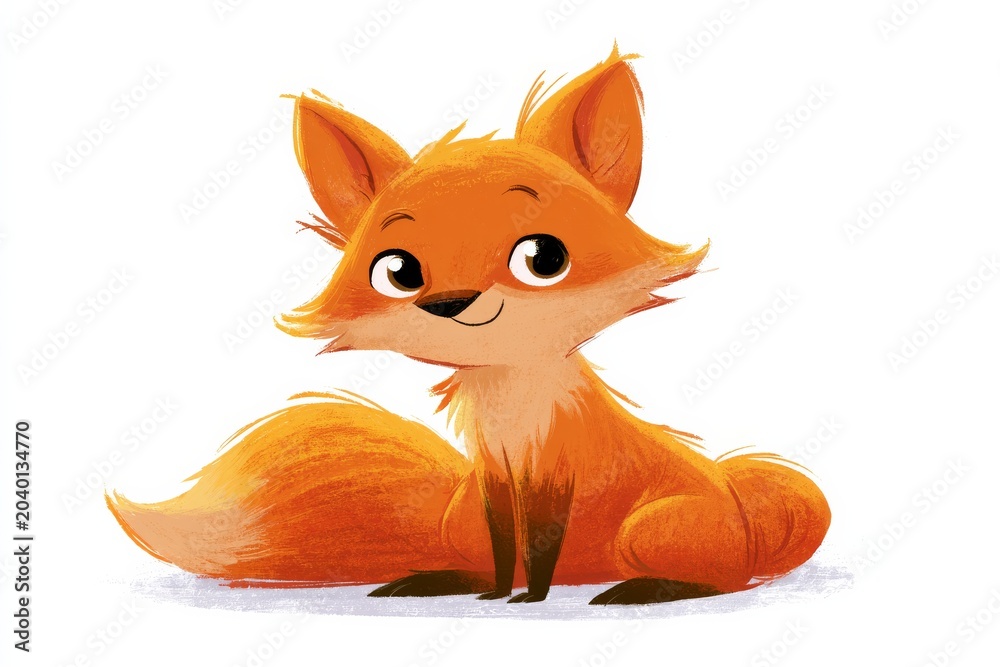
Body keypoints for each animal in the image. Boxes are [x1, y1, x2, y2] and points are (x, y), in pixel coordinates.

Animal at [107, 45, 831, 605]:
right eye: (398, 270)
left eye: (544, 258)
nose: (452, 303)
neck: (511, 404)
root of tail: (738, 497)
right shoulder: (493, 476)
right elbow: (508, 544)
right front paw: (501, 593)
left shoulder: (555, 473)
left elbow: (540, 546)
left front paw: (531, 599)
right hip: (459, 523)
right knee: (476, 554)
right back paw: (439, 579)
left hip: (651, 529)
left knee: (724, 577)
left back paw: (646, 587)